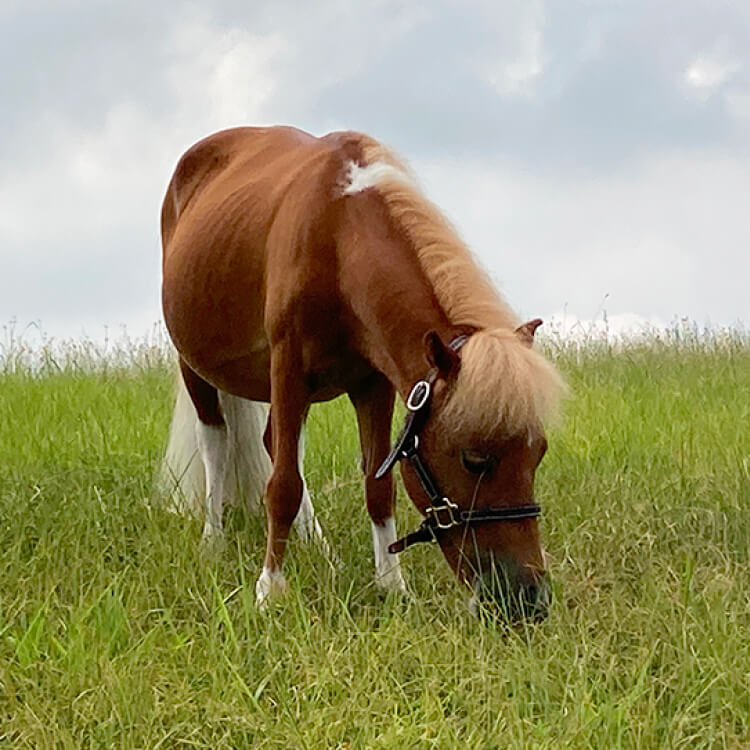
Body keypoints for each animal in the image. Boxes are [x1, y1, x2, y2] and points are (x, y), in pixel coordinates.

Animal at [162, 126, 568, 620]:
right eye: (475, 459)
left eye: (538, 453)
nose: (527, 599)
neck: (338, 236)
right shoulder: (288, 368)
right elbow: (282, 485)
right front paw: (269, 589)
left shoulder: (374, 384)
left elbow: (378, 484)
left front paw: (392, 586)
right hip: (196, 368)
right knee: (216, 445)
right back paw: (214, 539)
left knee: (275, 443)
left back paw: (318, 547)